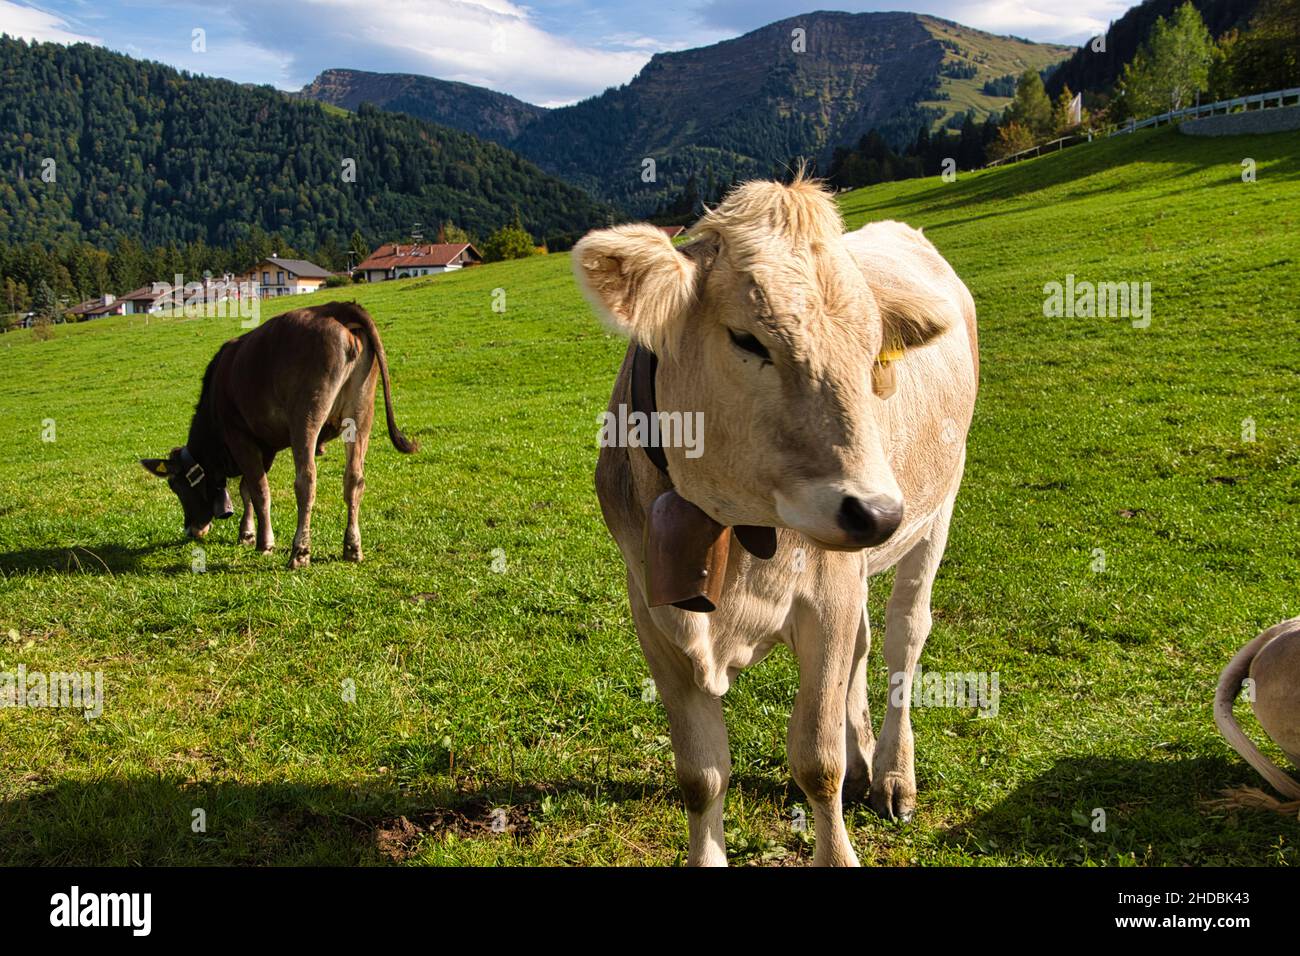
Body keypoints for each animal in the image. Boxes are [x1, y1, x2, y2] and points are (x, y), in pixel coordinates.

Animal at [140, 301, 417, 568]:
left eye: (175, 486)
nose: (191, 530)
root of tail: (335, 307)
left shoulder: (239, 436)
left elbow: (258, 489)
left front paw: (264, 543)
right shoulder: (266, 445)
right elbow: (246, 488)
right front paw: (247, 533)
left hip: (305, 416)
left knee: (306, 480)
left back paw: (300, 552)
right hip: (361, 413)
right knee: (354, 478)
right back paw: (352, 548)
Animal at [574, 175, 978, 866]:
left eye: (872, 353)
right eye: (748, 339)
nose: (877, 510)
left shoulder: (827, 596)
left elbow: (816, 762)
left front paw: (838, 849)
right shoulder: (652, 614)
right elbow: (701, 774)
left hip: (937, 511)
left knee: (904, 633)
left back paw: (893, 774)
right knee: (864, 644)